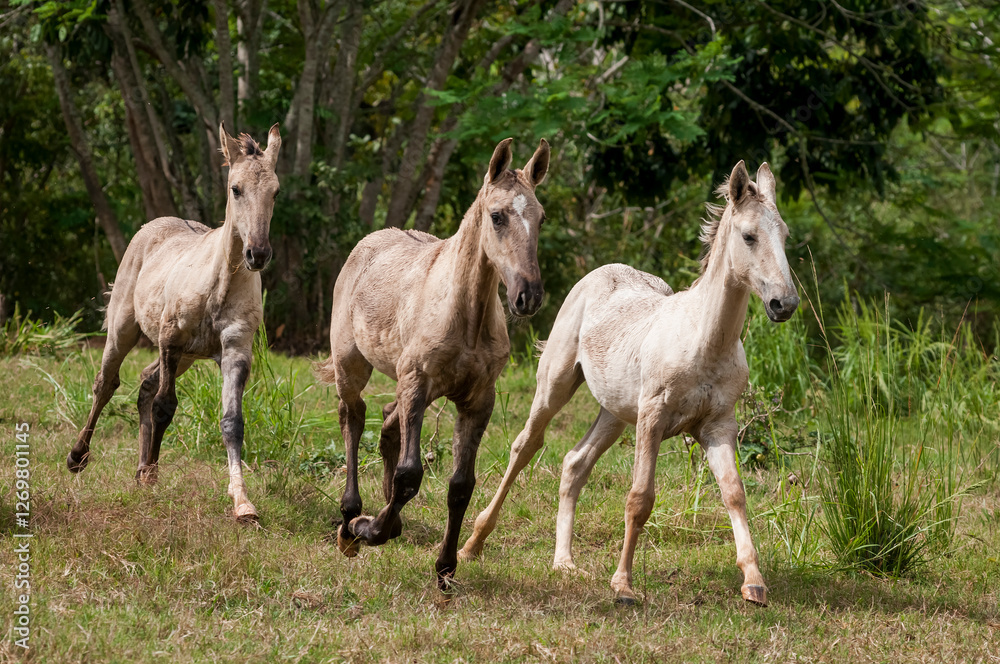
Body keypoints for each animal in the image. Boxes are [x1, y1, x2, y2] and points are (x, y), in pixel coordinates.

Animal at [67, 123, 281, 523]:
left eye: (275, 191)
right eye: (236, 188)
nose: (257, 254)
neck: (219, 283)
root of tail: (152, 224)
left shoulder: (235, 351)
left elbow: (232, 422)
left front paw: (242, 503)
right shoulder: (171, 340)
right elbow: (164, 407)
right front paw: (151, 473)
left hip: (187, 358)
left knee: (144, 383)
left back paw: (140, 468)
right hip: (125, 331)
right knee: (107, 383)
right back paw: (78, 457)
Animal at [316, 138, 550, 590]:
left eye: (541, 218)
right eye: (497, 216)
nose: (527, 295)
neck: (465, 317)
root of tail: (369, 243)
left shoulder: (477, 401)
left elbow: (461, 485)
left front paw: (445, 570)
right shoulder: (418, 383)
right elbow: (410, 474)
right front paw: (369, 529)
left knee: (388, 423)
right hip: (354, 367)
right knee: (353, 418)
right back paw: (351, 519)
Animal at [459, 160, 799, 607]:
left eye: (785, 235)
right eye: (749, 236)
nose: (784, 303)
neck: (704, 340)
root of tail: (600, 272)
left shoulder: (719, 425)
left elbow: (734, 493)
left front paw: (754, 582)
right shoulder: (652, 417)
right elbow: (640, 499)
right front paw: (622, 585)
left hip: (615, 412)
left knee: (575, 462)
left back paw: (564, 562)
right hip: (555, 386)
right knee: (525, 446)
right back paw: (472, 545)